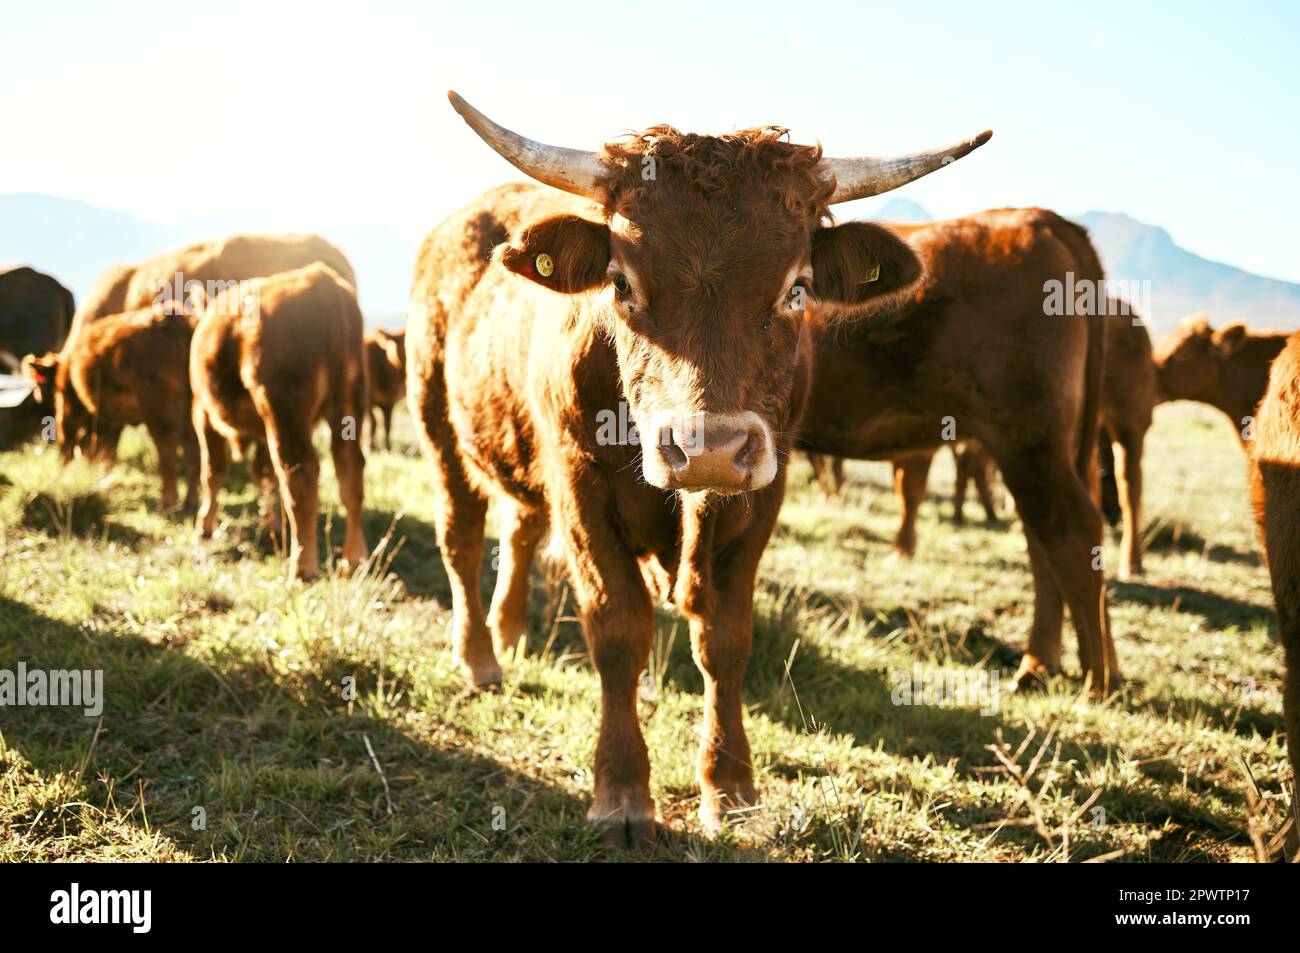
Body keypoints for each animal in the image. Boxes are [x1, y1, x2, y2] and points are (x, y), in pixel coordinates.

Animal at [189, 262, 369, 579]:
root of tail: (321, 281)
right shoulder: (262, 430)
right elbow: (264, 472)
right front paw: (271, 526)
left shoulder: (203, 413)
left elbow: (212, 471)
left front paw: (204, 527)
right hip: (348, 403)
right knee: (350, 470)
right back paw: (354, 560)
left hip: (284, 408)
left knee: (300, 472)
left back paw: (302, 566)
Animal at [410, 91, 987, 842]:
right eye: (621, 283)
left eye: (797, 289)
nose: (708, 447)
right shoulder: (579, 484)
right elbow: (618, 628)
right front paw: (621, 791)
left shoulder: (762, 493)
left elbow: (724, 640)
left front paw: (731, 788)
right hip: (438, 427)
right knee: (462, 537)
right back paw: (480, 657)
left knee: (520, 530)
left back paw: (510, 634)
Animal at [800, 208, 1118, 686]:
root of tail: (1042, 219)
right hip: (1047, 448)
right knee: (1044, 540)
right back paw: (1045, 663)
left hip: (1029, 441)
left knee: (1071, 530)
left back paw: (1094, 682)